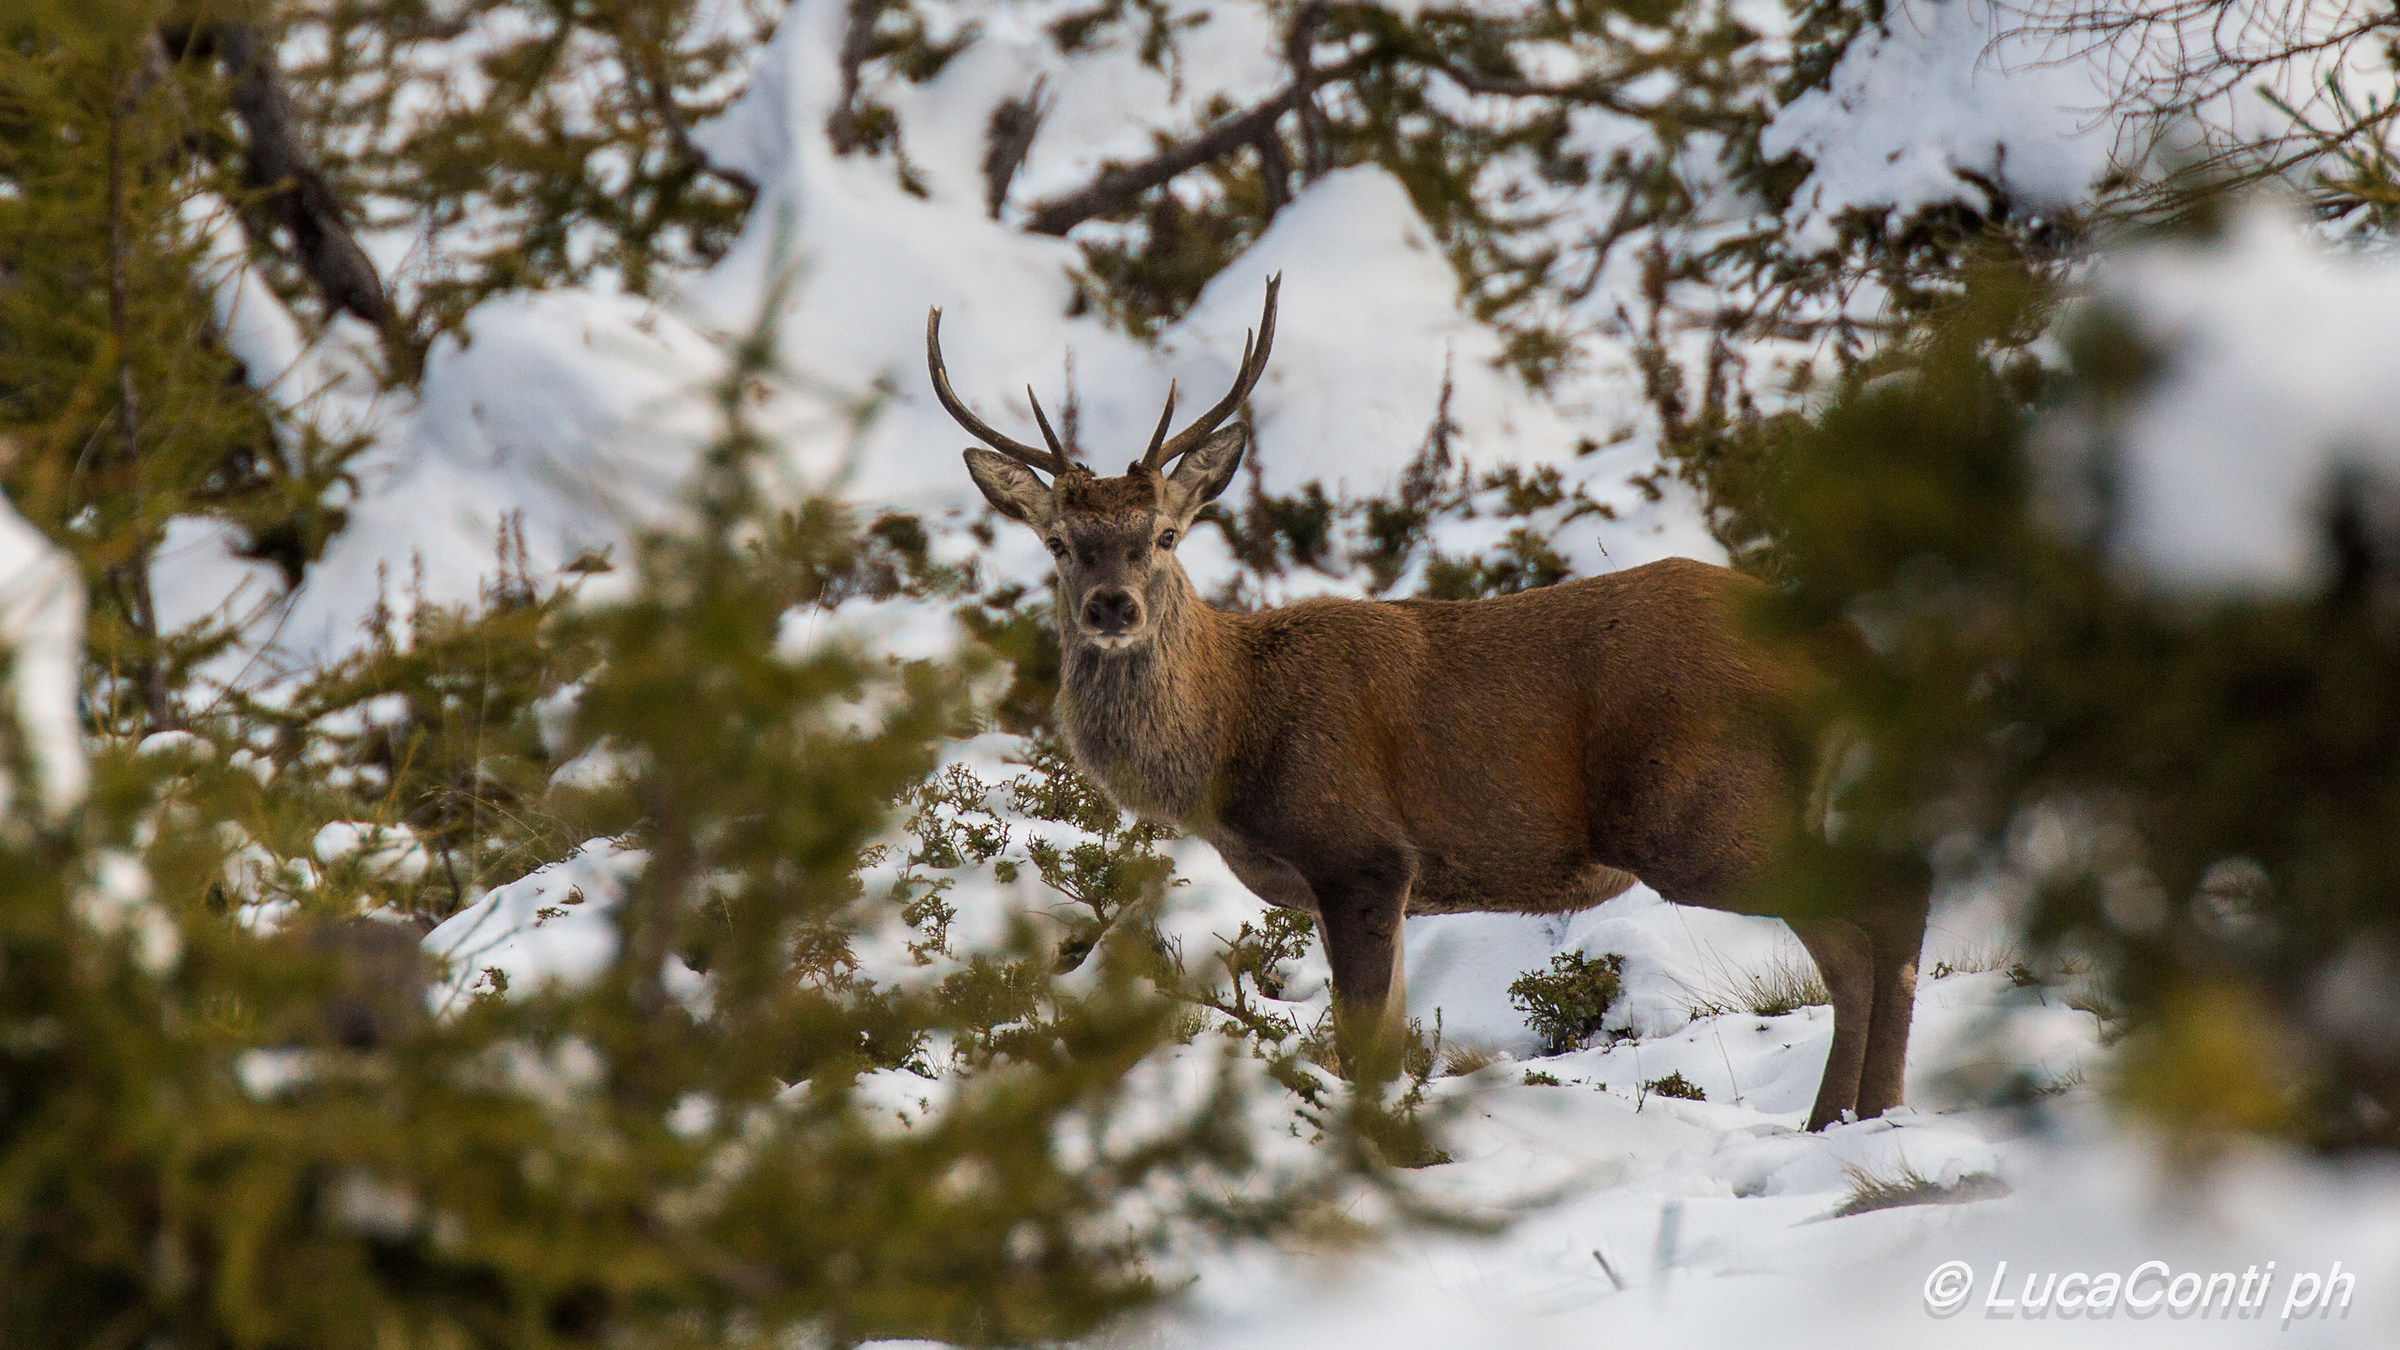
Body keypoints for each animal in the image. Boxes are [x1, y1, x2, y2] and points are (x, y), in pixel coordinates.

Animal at [926, 276, 1928, 1131]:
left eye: (1165, 535)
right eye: (1060, 542)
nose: (1112, 607)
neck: (1233, 736)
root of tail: (1840, 647)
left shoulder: (1358, 849)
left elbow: (1363, 1048)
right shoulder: (1388, 882)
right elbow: (1389, 1041)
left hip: (1701, 813)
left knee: (1879, 904)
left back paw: (1858, 1114)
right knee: (1871, 924)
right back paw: (1852, 1116)